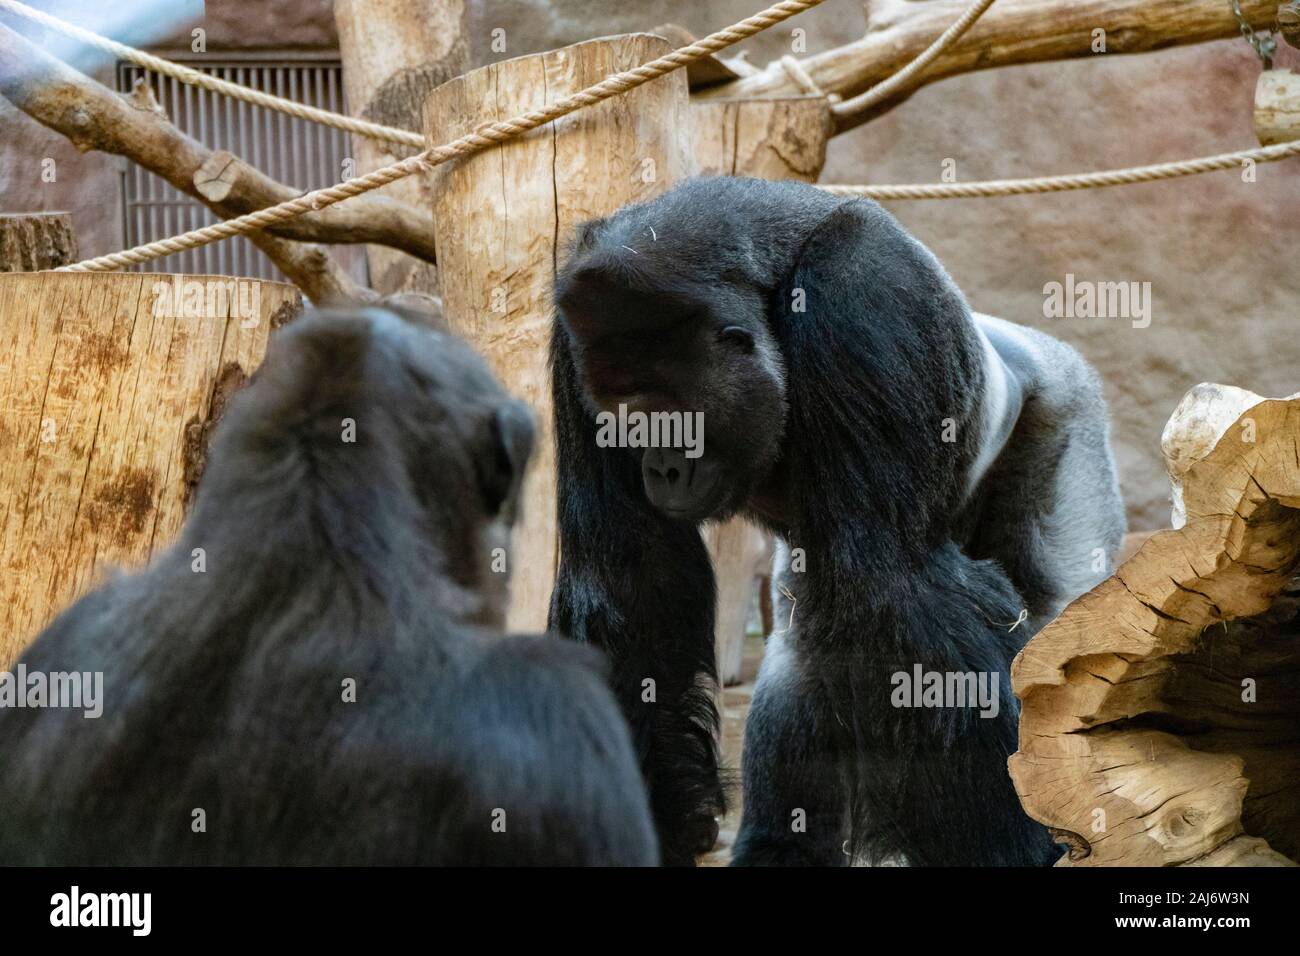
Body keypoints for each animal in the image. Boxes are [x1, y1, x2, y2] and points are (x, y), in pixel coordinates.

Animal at [548, 174, 1128, 868]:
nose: (658, 470)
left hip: (1070, 412)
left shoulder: (863, 285)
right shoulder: (573, 341)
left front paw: (1014, 840)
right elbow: (635, 585)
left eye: (669, 415)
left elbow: (893, 581)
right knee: (804, 650)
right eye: (623, 417)